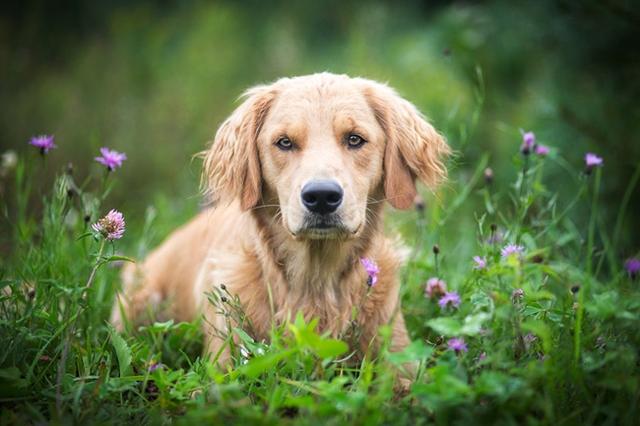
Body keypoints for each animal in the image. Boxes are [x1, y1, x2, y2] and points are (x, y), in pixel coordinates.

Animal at [110, 72, 450, 372]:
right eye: (284, 142)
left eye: (355, 139)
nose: (322, 196)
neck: (315, 283)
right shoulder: (226, 362)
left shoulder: (400, 356)